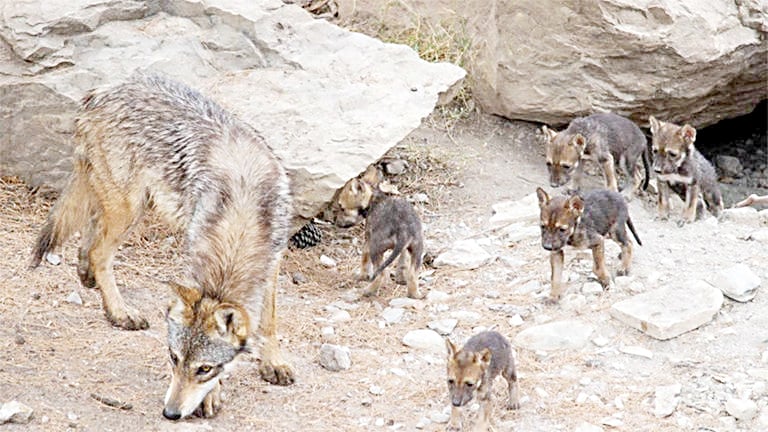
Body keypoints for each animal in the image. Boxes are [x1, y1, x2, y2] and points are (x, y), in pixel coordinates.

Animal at [29, 72, 295, 419]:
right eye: (173, 358)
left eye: (204, 369)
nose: (170, 413)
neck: (241, 217)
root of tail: (101, 92)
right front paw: (212, 397)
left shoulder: (273, 259)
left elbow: (269, 319)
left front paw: (273, 361)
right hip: (129, 207)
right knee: (99, 252)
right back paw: (120, 311)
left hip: (129, 206)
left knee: (89, 243)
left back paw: (90, 281)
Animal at [334, 165, 425, 299]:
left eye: (342, 208)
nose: (335, 222)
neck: (373, 199)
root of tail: (403, 229)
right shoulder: (404, 249)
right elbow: (403, 261)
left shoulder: (367, 241)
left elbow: (364, 260)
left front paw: (362, 276)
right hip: (417, 250)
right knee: (412, 274)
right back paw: (414, 295)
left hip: (375, 249)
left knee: (381, 273)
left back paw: (368, 291)